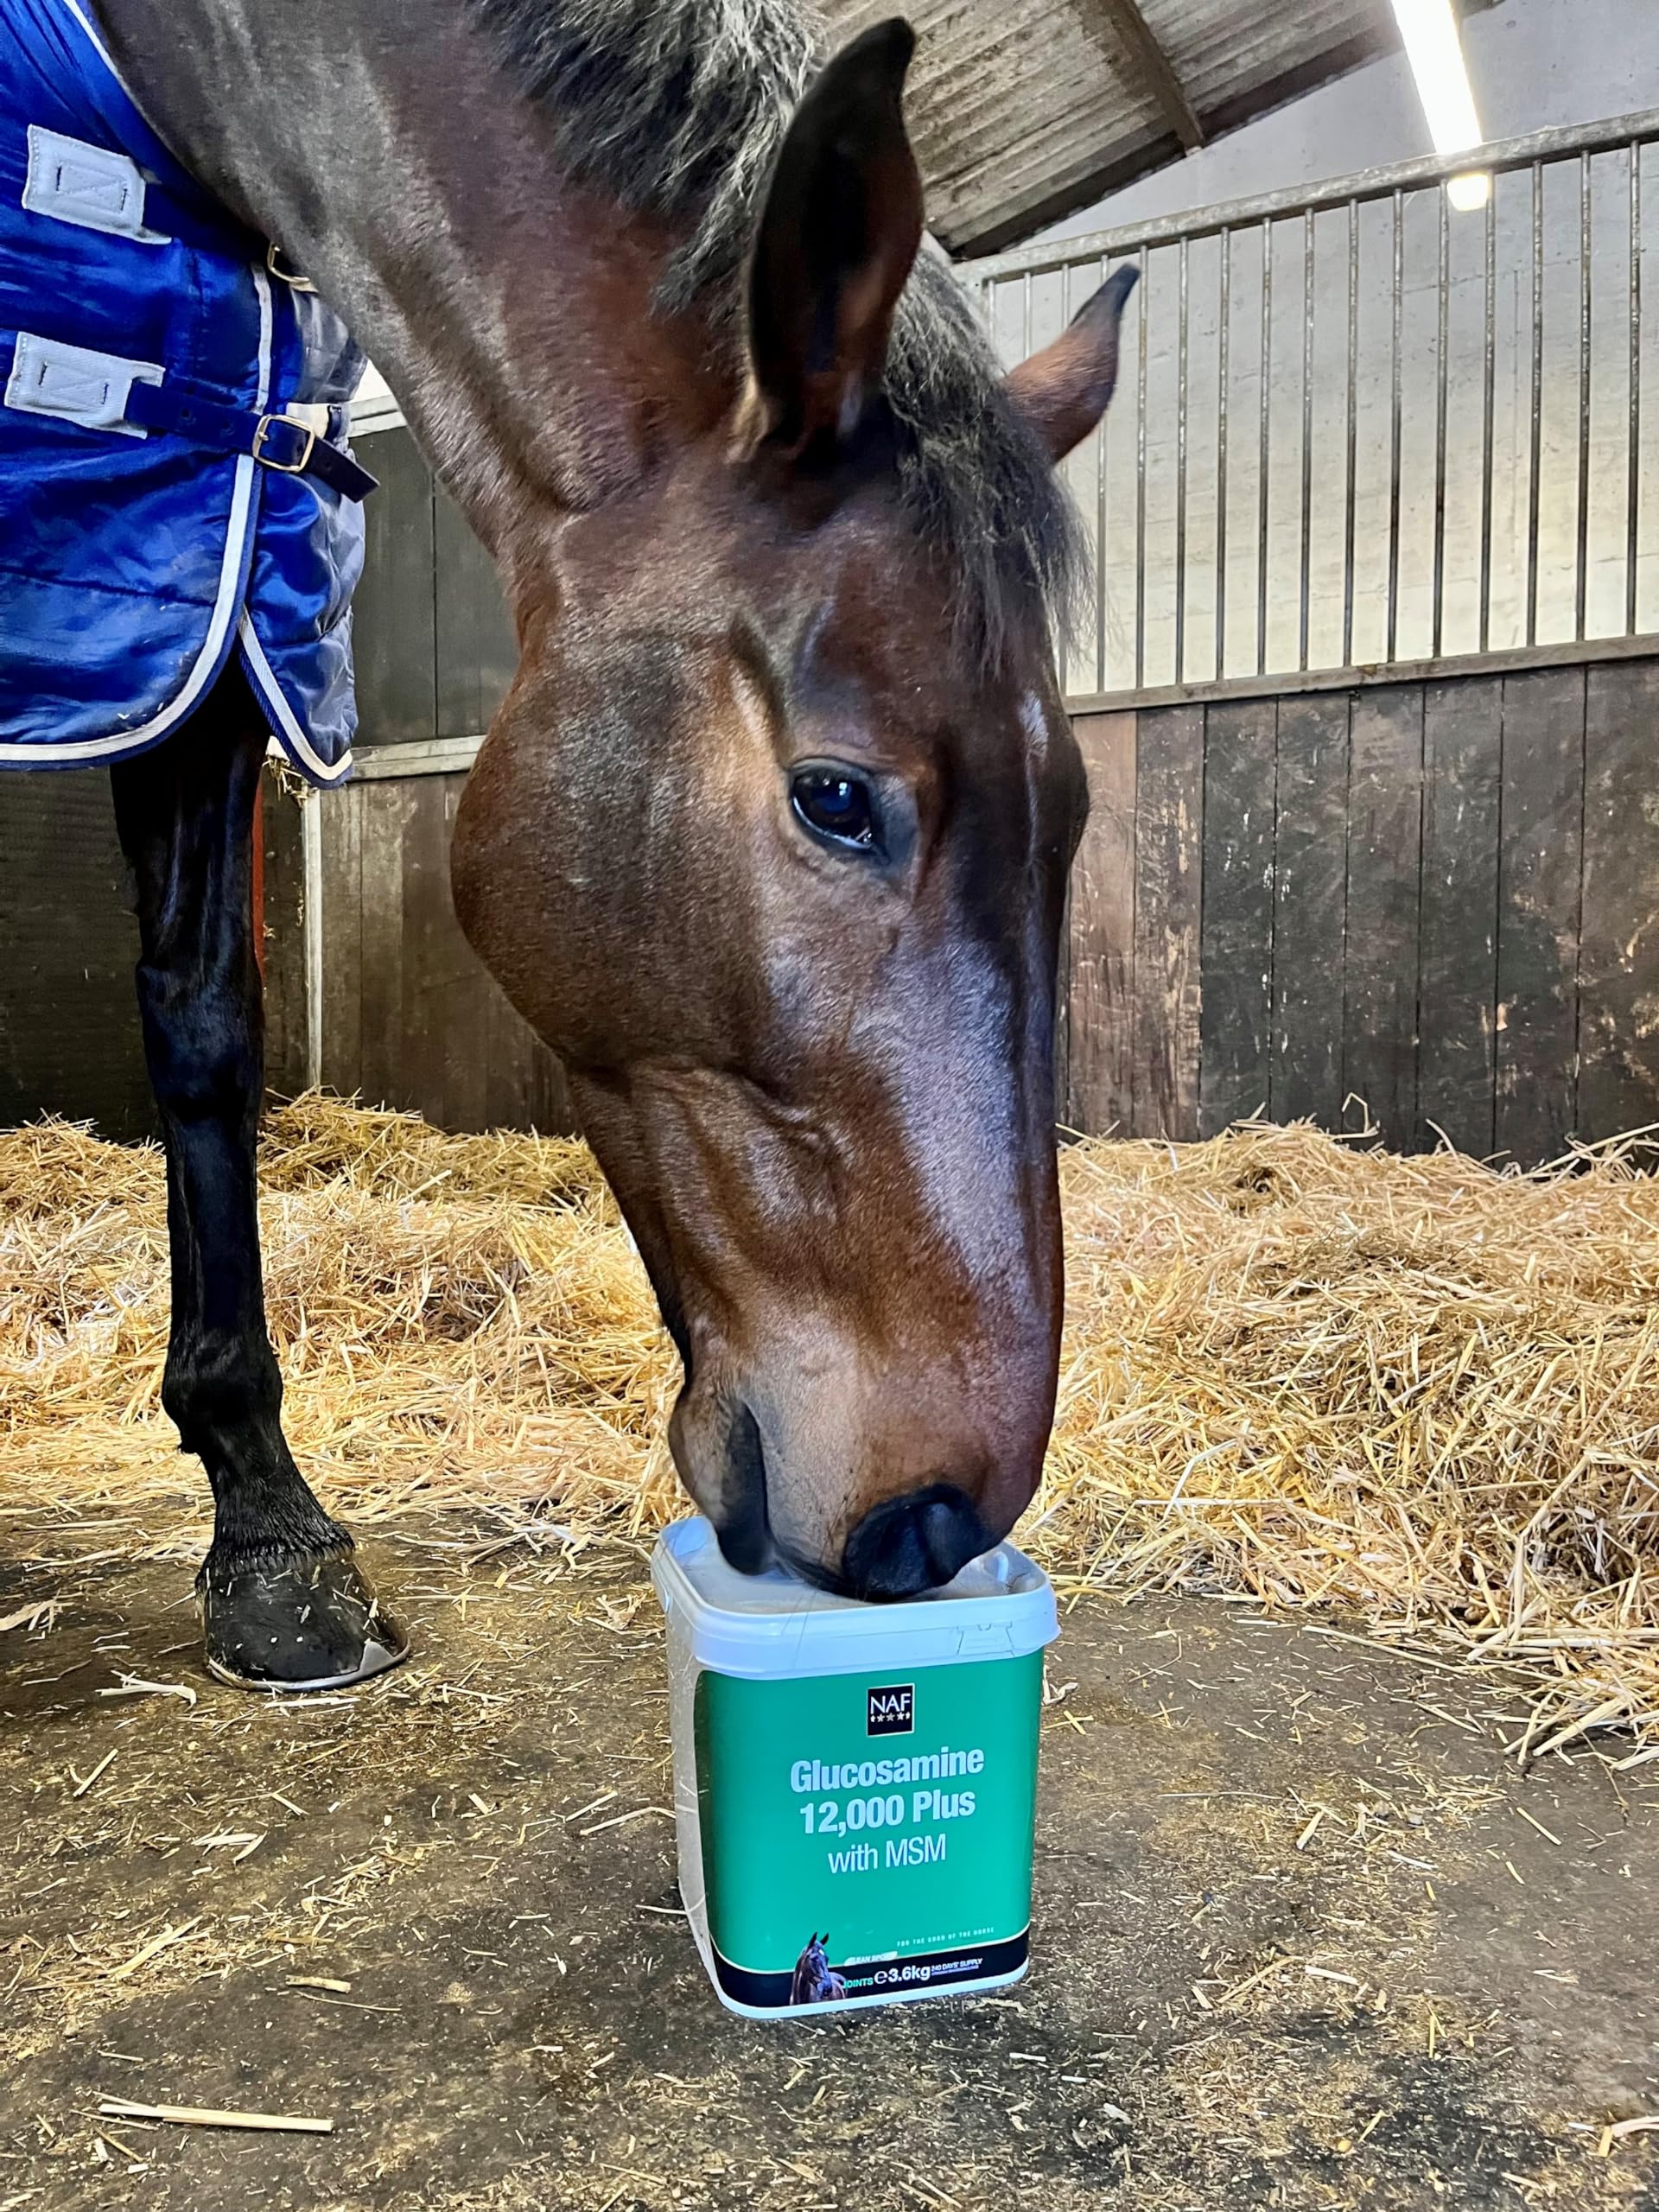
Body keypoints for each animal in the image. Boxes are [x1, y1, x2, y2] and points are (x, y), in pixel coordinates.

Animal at [4, 0, 1134, 1689]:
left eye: (1069, 816)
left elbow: (203, 1033)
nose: (931, 1523)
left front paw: (267, 1532)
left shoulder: (210, 610)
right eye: (837, 798)